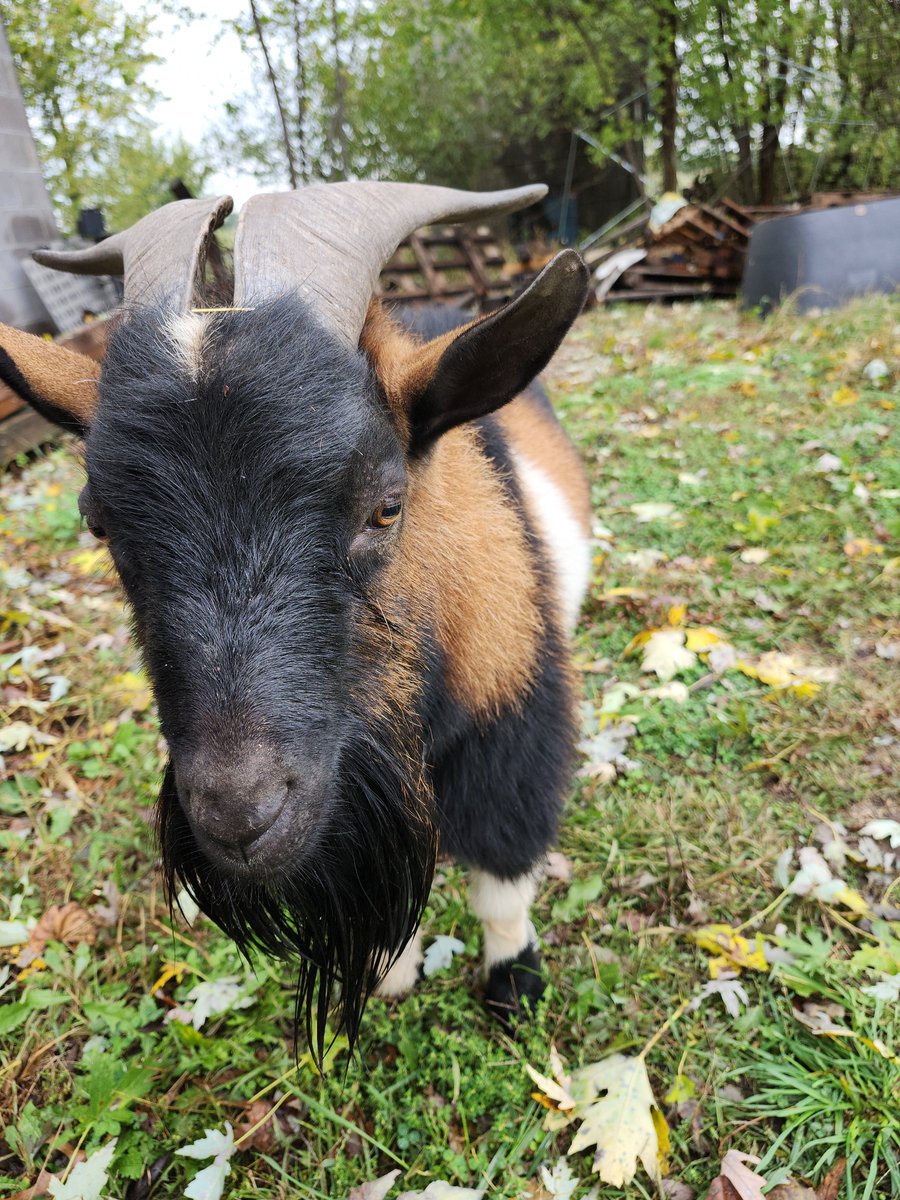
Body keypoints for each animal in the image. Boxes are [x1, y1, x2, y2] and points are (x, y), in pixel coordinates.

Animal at [0, 184, 591, 1052]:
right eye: (98, 524)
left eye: (387, 504)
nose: (240, 816)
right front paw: (394, 974)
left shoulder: (514, 728)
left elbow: (503, 881)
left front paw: (515, 983)